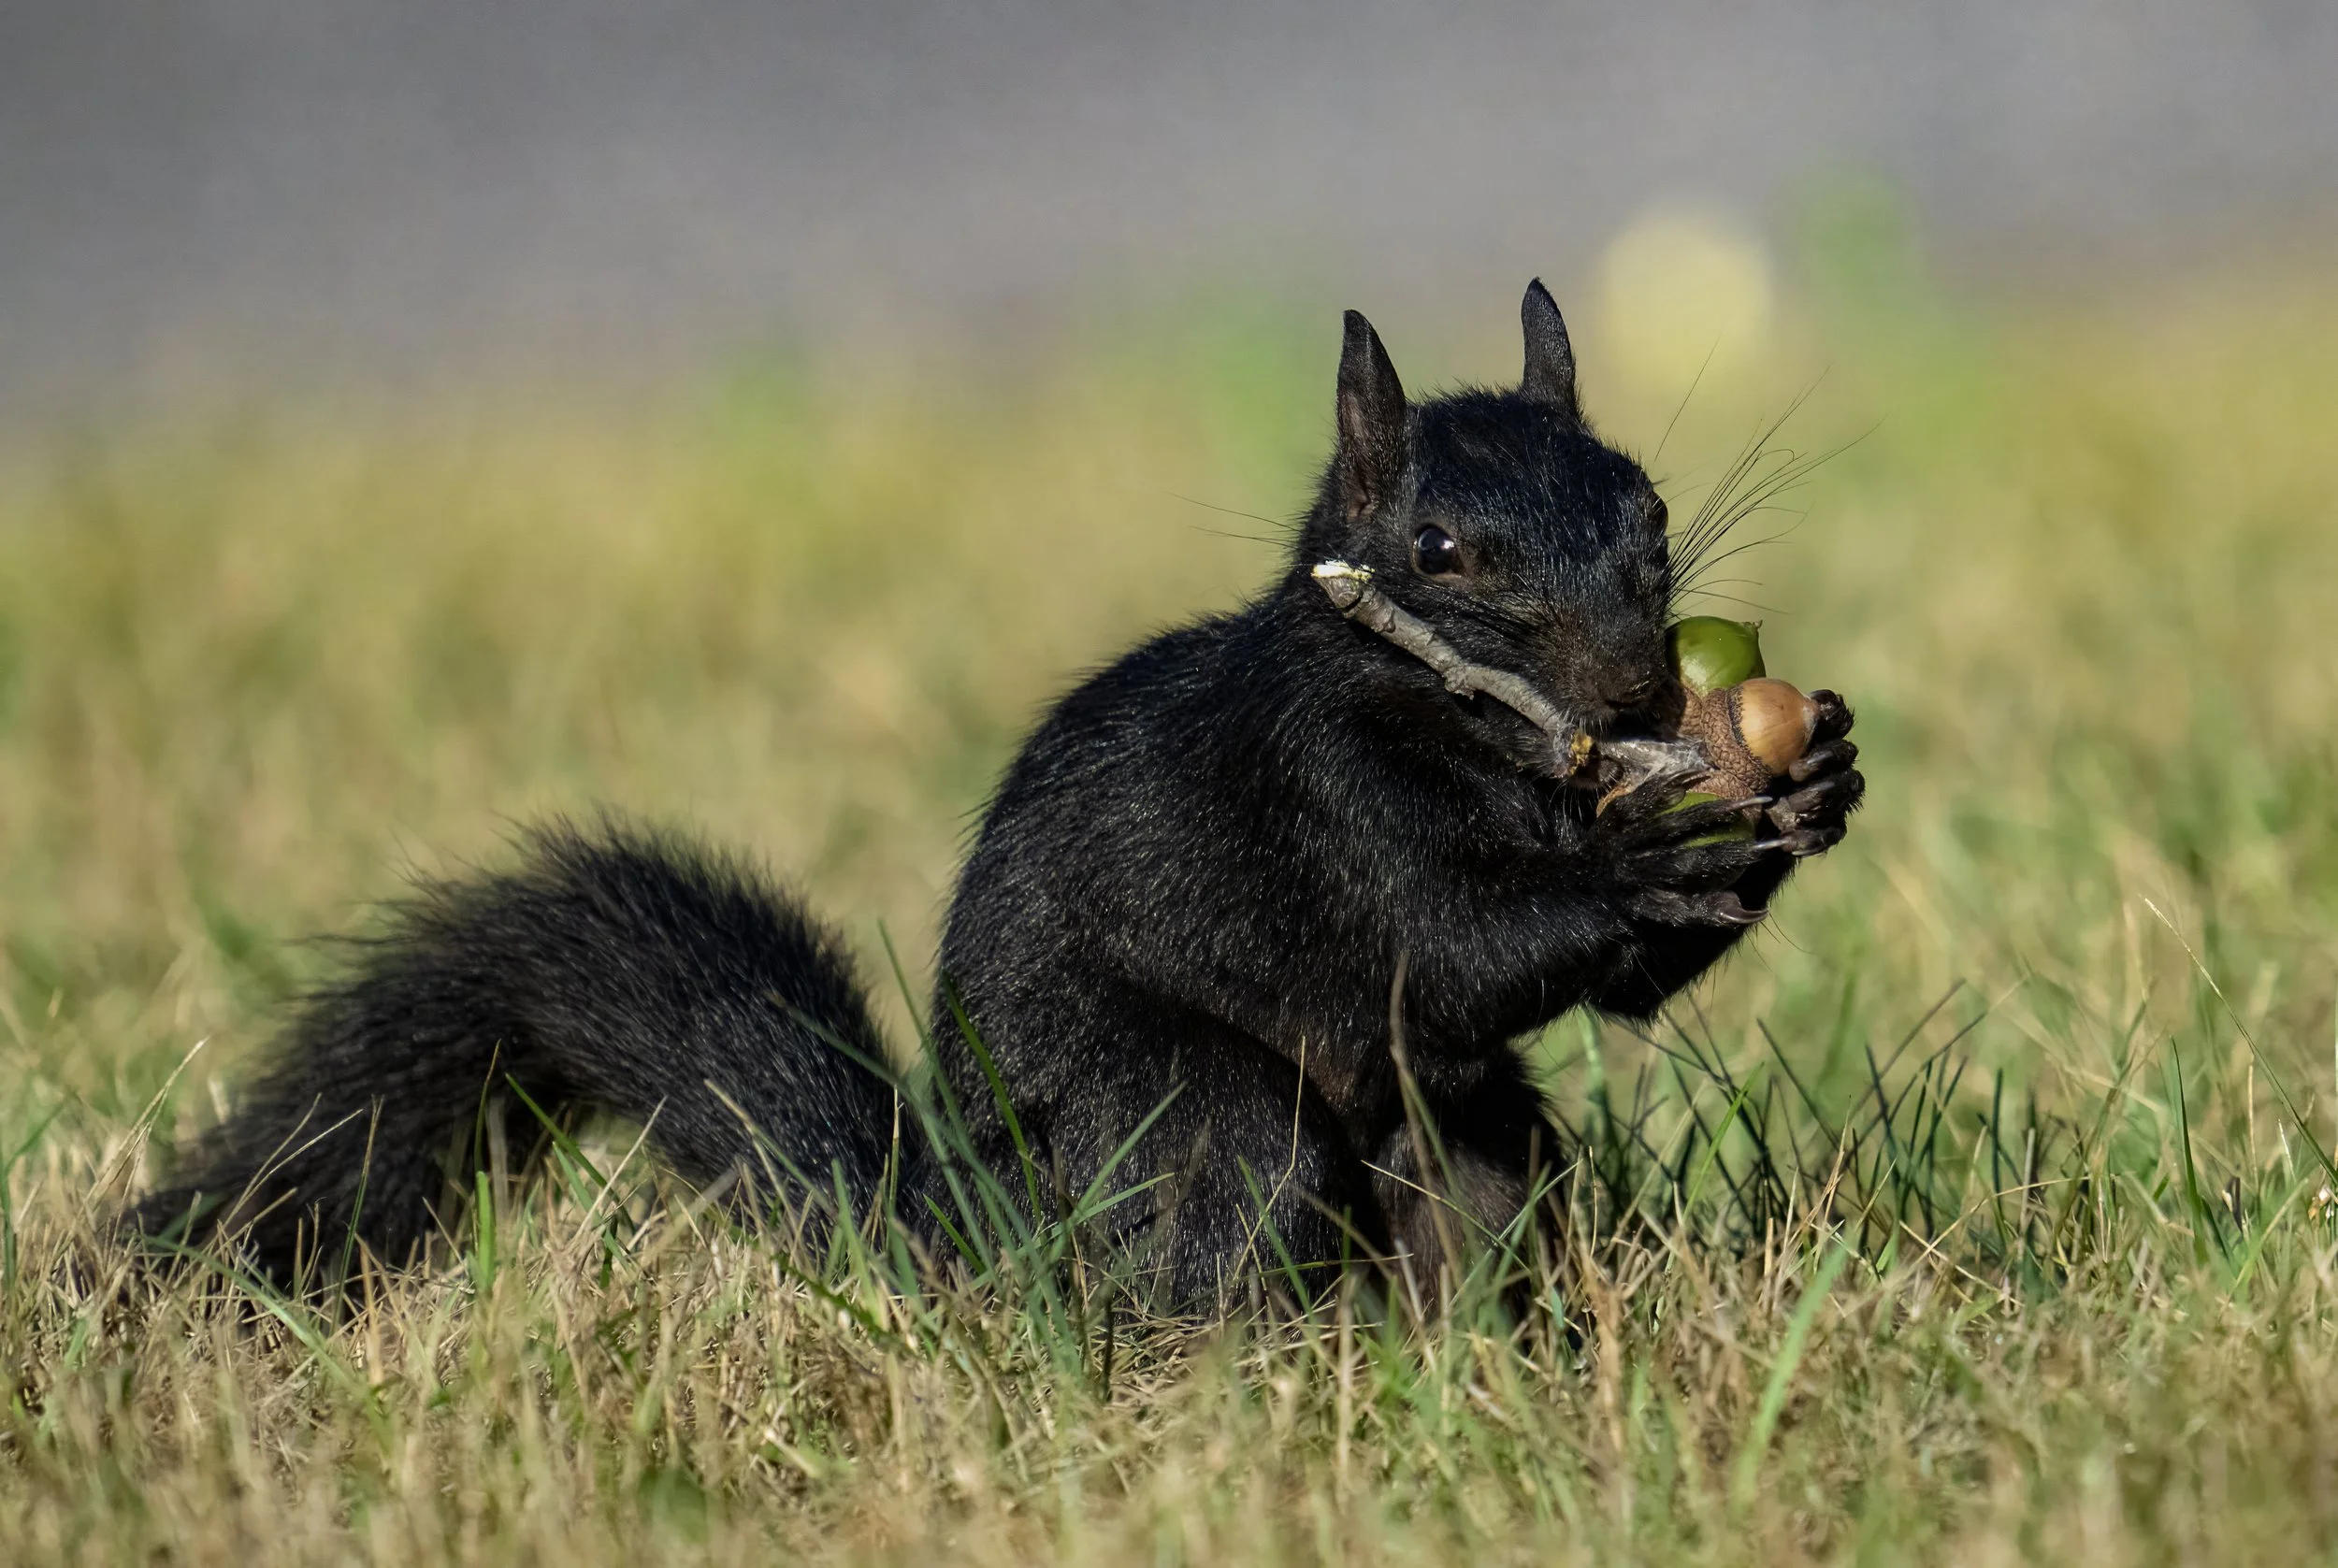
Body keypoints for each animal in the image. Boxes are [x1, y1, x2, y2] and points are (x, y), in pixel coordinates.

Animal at [133, 282, 1863, 1306]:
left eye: (1648, 506)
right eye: (1439, 554)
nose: (1638, 688)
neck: (1487, 741)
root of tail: (992, 1246)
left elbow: (1622, 989)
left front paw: (1814, 777)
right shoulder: (1321, 795)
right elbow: (1452, 937)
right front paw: (1641, 866)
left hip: (1464, 1137)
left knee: (1476, 1185)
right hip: (1165, 1109)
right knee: (1230, 1195)